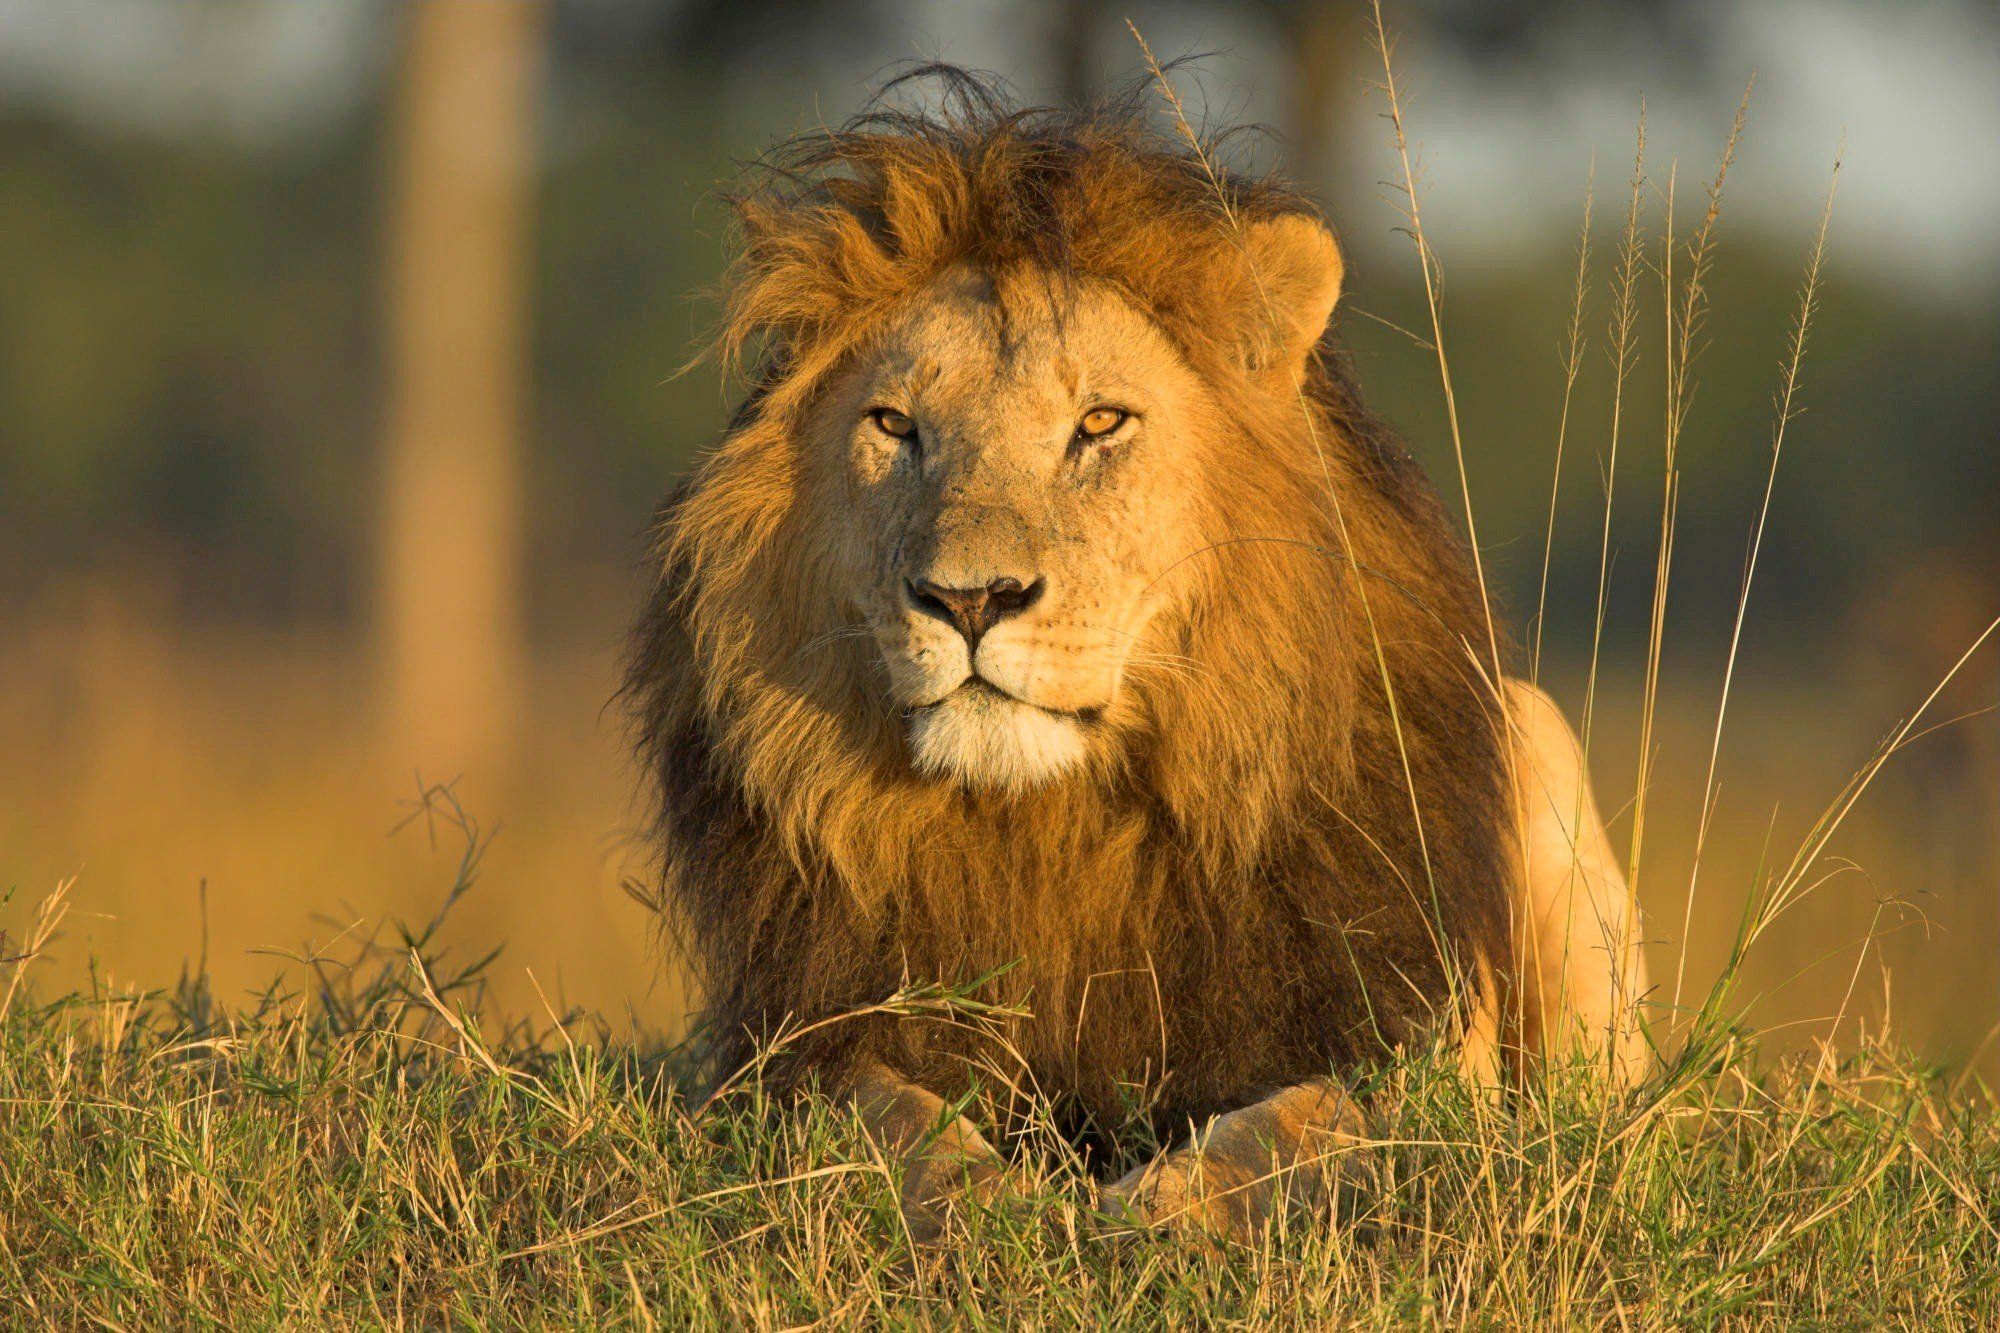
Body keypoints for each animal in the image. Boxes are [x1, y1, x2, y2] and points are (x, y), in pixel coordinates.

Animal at [626, 71, 1646, 1244]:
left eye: (1099, 423)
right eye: (893, 425)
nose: (968, 598)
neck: (1051, 828)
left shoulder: (1401, 1040)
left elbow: (1301, 1125)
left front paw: (1157, 1211)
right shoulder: (796, 1041)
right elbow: (885, 1116)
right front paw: (988, 1205)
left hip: (1537, 744)